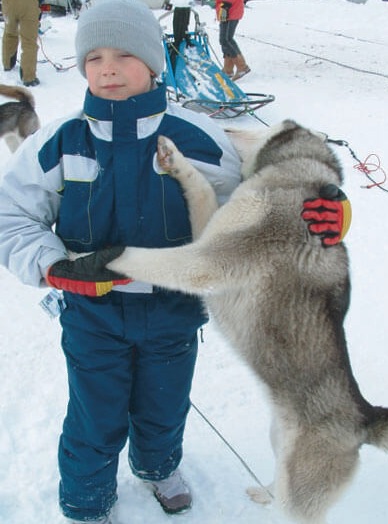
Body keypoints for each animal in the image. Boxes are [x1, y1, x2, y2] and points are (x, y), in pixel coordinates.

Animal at [104, 119, 388, 524]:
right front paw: (174, 159)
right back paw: (262, 493)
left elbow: (140, 257)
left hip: (299, 496)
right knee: (276, 484)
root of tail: (363, 419)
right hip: (278, 439)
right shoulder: (210, 231)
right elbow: (201, 186)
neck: (296, 174)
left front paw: (81, 258)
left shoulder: (206, 260)